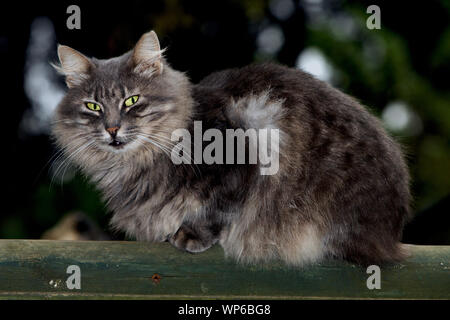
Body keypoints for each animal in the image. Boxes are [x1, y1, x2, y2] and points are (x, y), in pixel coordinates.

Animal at [51, 30, 412, 264]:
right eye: (93, 107)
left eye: (132, 101)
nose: (112, 129)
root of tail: (392, 229)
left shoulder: (243, 154)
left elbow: (218, 207)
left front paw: (191, 235)